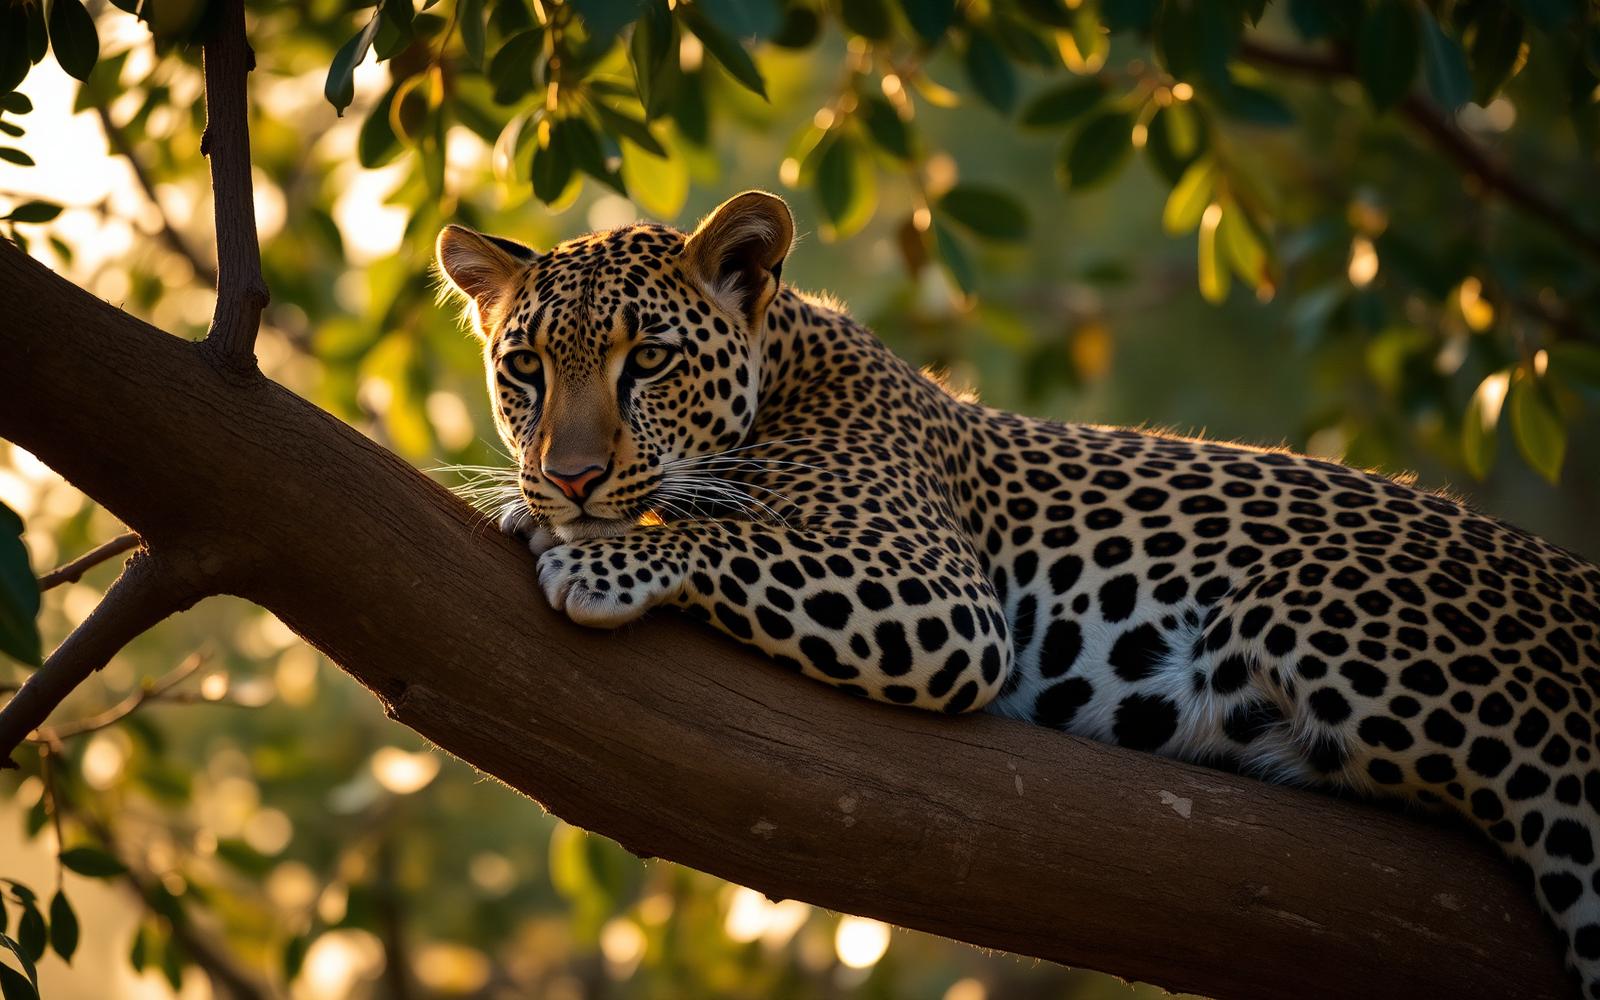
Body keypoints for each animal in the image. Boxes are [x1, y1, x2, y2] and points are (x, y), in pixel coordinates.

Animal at [436, 190, 1600, 995]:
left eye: (648, 363)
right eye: (525, 368)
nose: (569, 477)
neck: (791, 369)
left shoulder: (935, 598)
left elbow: (726, 533)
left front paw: (594, 554)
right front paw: (532, 508)